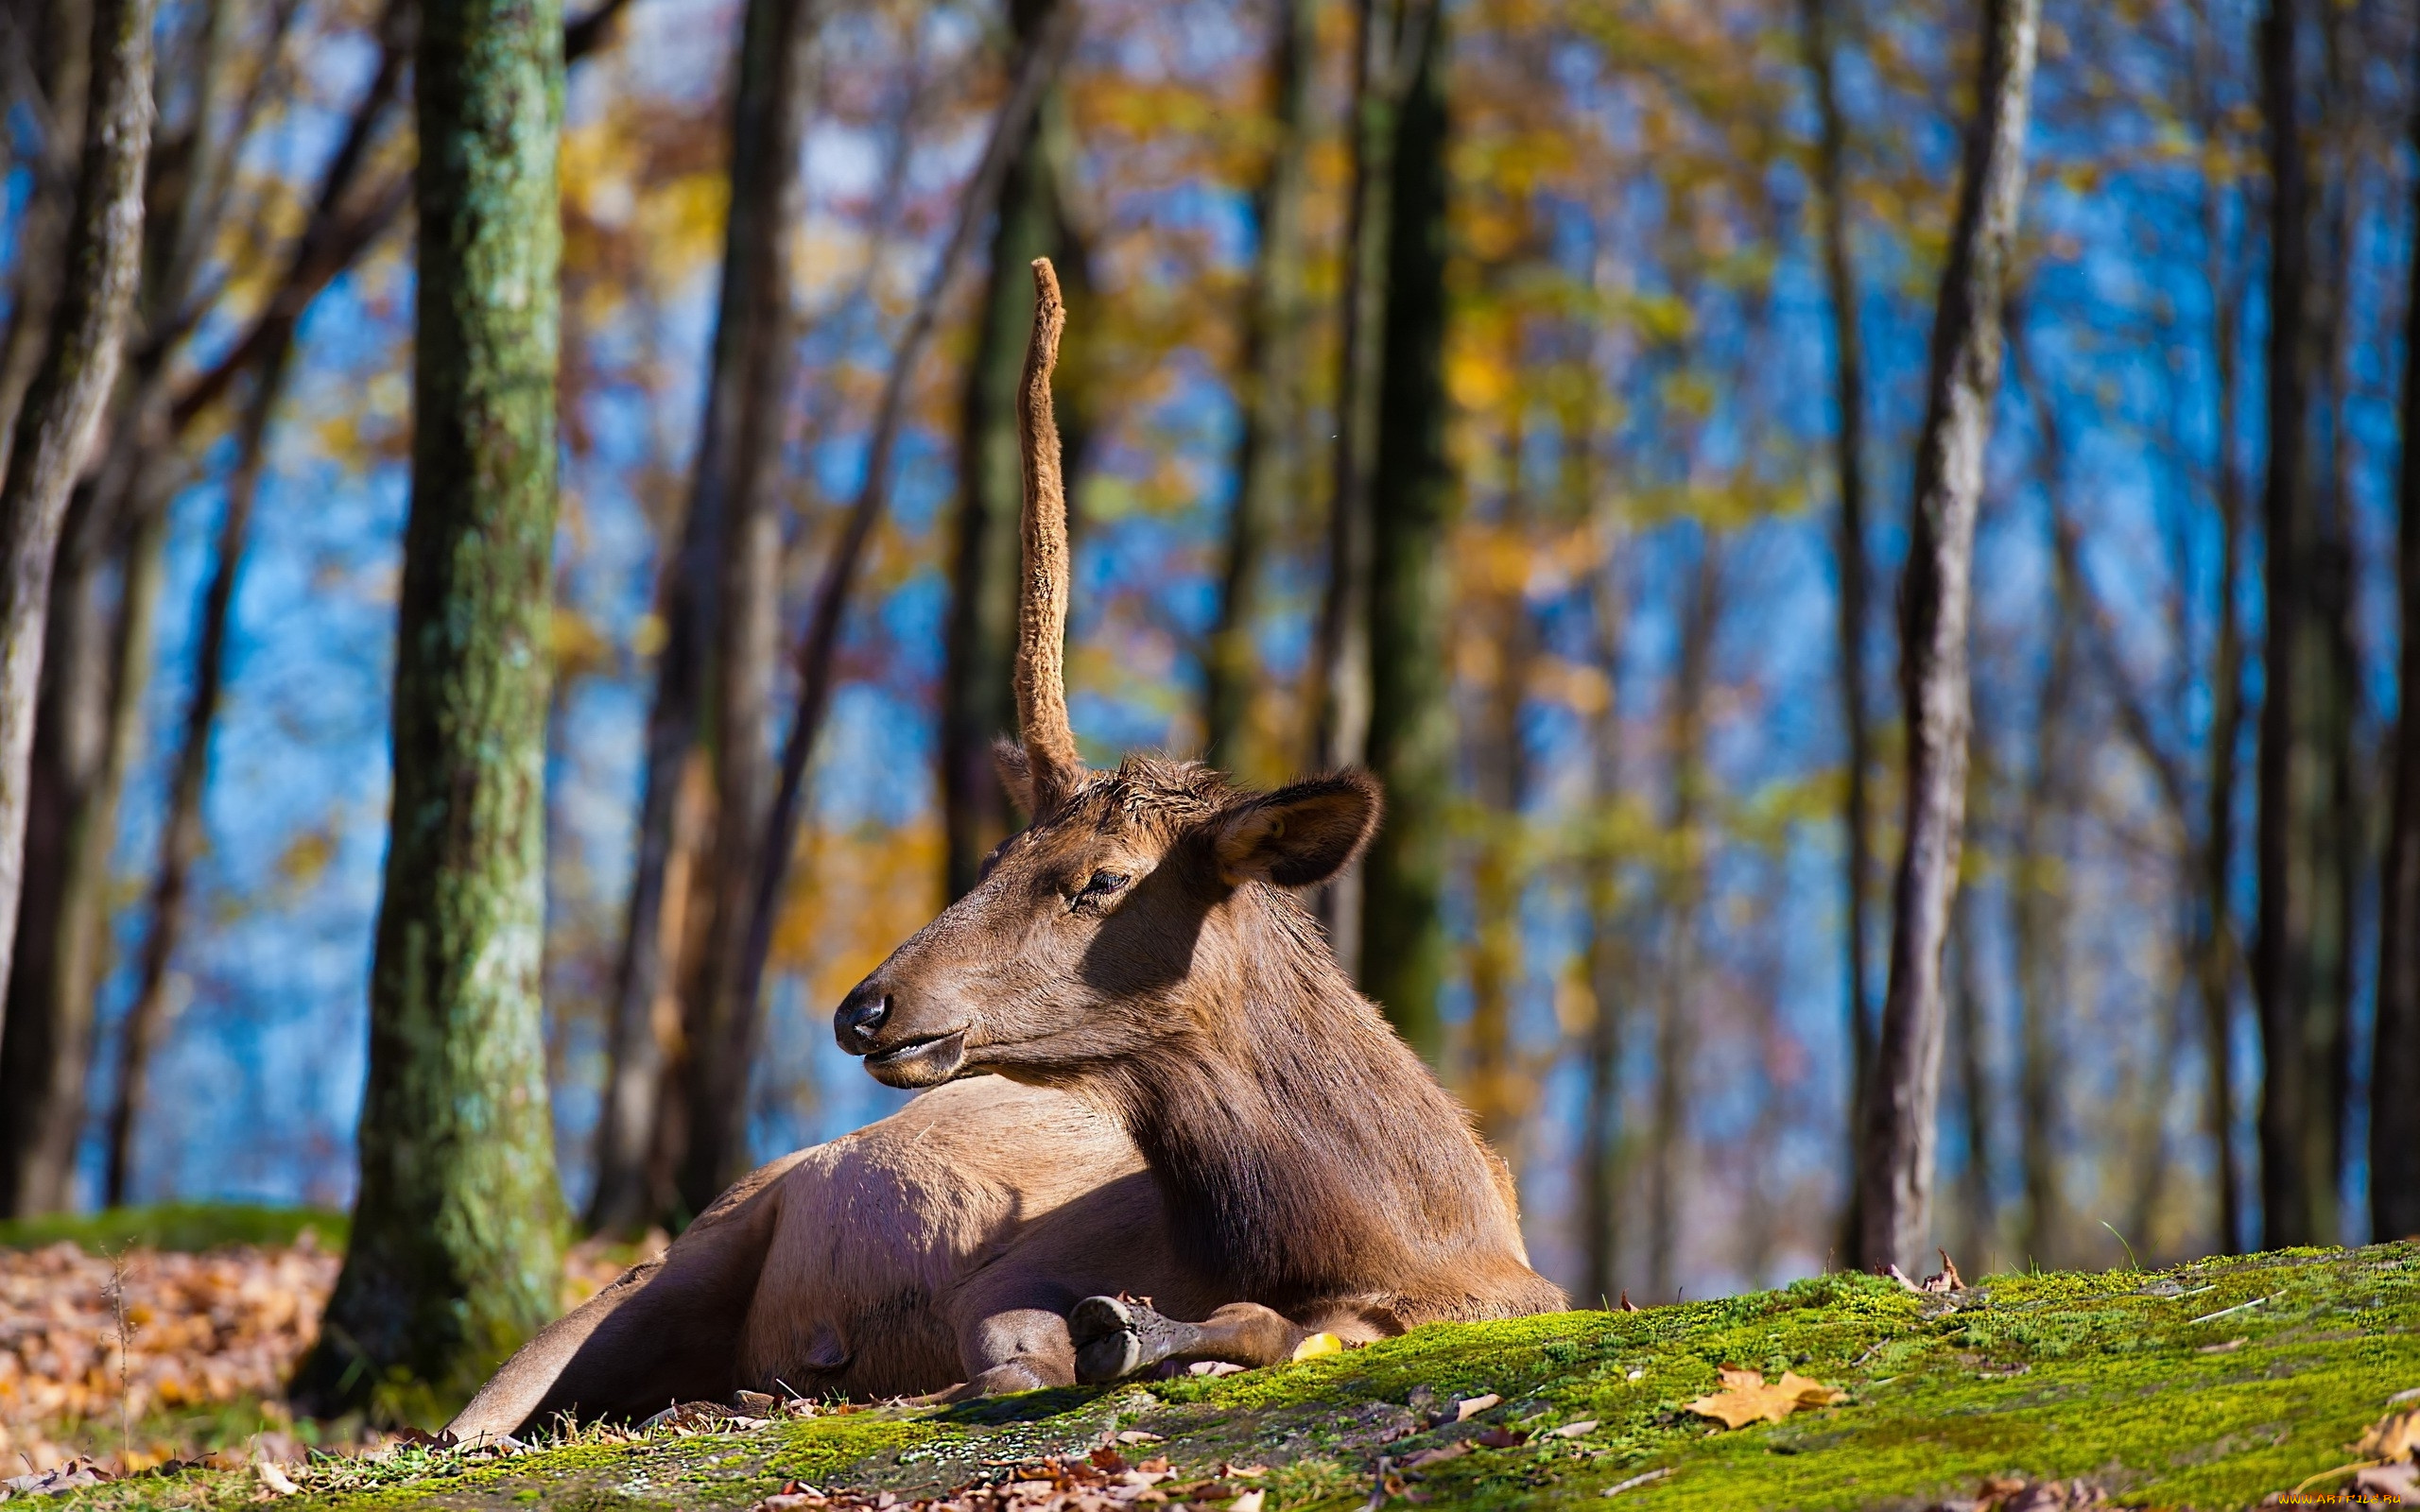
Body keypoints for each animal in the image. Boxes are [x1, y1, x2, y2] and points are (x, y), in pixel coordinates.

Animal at [445, 262, 1558, 1441]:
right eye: (988, 859)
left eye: (1102, 880)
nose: (865, 1008)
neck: (1404, 1235)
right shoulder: (1012, 1266)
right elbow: (1026, 1358)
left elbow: (1276, 1329)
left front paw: (1151, 1331)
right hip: (689, 1245)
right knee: (476, 1416)